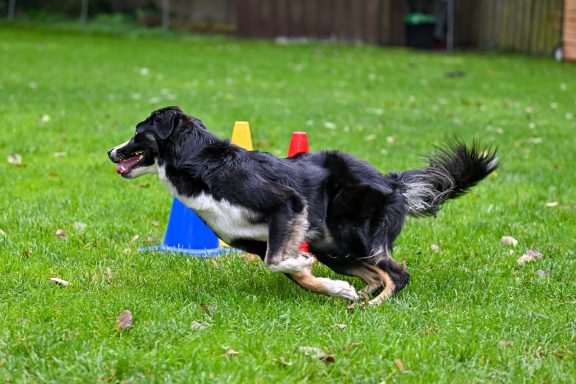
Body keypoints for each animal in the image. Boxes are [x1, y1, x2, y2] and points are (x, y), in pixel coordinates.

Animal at [109, 106, 500, 304]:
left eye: (138, 133)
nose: (111, 151)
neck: (202, 164)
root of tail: (392, 182)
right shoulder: (256, 240)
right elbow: (292, 272)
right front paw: (334, 288)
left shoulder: (287, 203)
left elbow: (280, 262)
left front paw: (309, 269)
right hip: (334, 247)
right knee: (374, 274)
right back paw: (358, 295)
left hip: (353, 235)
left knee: (398, 273)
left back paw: (376, 305)